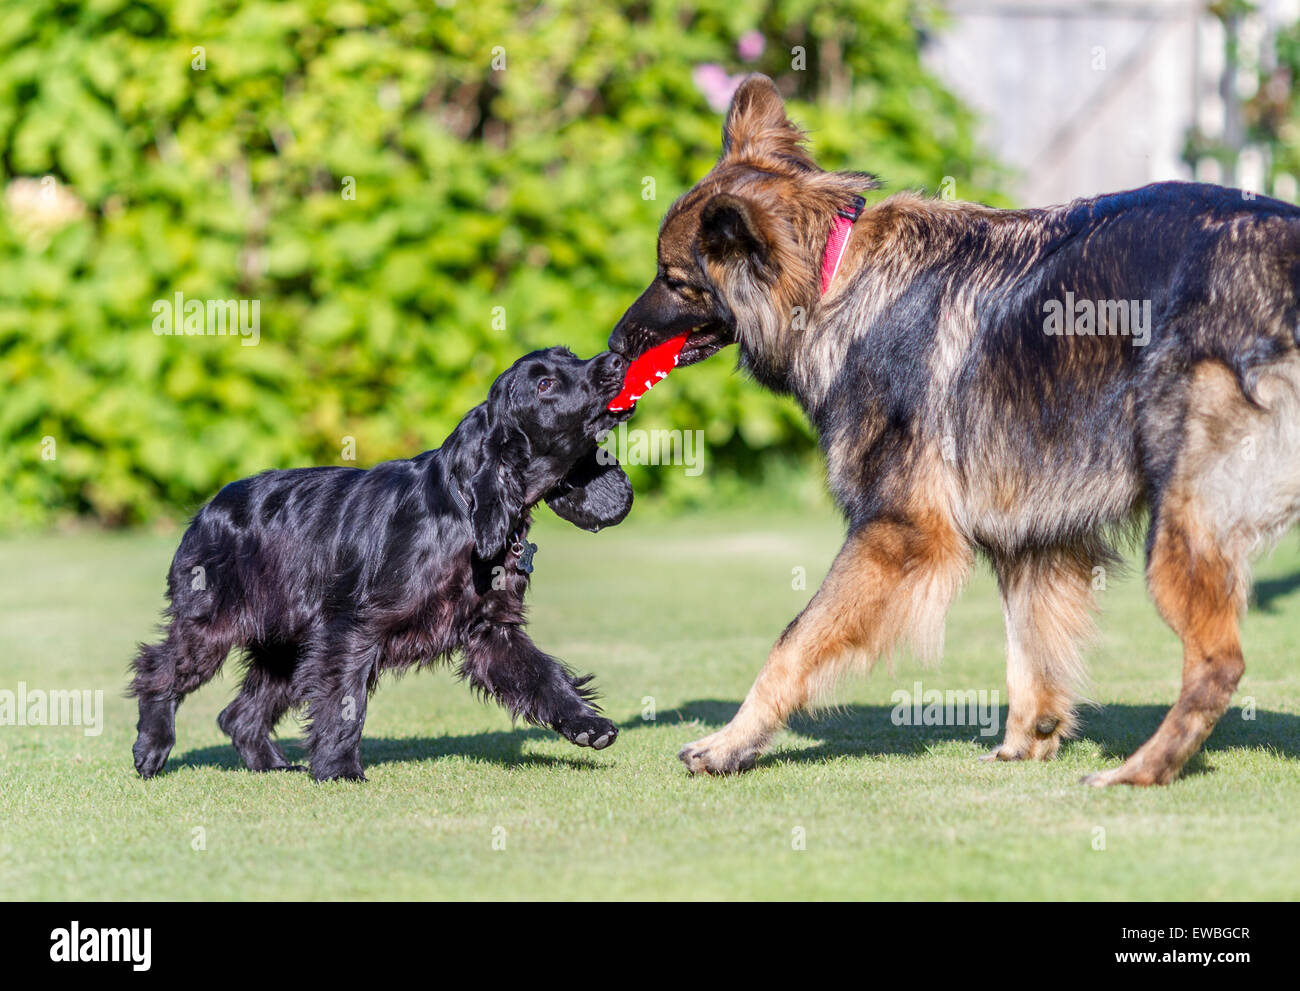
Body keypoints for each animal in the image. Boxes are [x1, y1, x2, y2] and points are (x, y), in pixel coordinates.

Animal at [130, 348, 634, 780]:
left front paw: (586, 724)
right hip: (211, 625)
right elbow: (345, 702)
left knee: (238, 715)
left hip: (285, 648)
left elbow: (543, 676)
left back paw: (270, 765)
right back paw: (151, 750)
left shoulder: (492, 630)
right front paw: (338, 769)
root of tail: (206, 510)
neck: (461, 512)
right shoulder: (351, 629)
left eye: (571, 356)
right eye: (545, 384)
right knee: (158, 671)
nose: (615, 360)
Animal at [611, 73, 1300, 785]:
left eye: (674, 280)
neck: (833, 277)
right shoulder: (1034, 541)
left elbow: (794, 638)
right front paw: (1026, 741)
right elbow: (1029, 654)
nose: (613, 343)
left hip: (1181, 525)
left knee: (1219, 663)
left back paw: (1138, 771)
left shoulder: (898, 532)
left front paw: (730, 741)